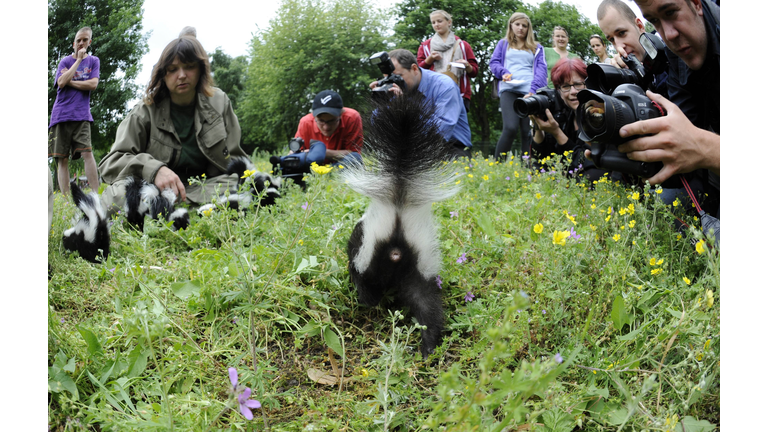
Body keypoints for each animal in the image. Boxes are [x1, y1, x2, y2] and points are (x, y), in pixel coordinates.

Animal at [344, 95, 462, 358]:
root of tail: (398, 213)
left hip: (368, 256)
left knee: (367, 289)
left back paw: (372, 302)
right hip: (420, 265)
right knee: (428, 305)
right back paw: (428, 346)